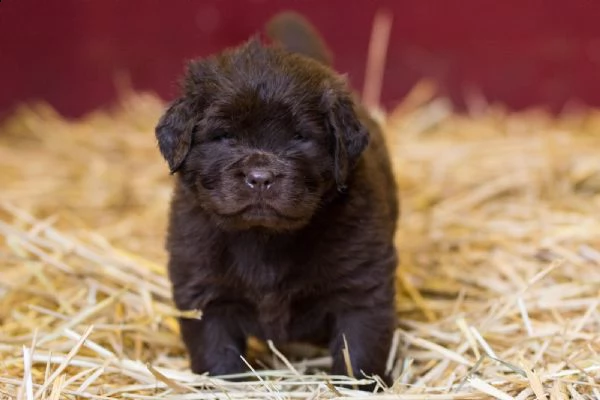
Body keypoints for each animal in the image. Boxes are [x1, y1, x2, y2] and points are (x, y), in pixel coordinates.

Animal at [156, 12, 398, 386]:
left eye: (299, 138)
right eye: (224, 136)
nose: (260, 177)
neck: (263, 239)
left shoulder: (361, 287)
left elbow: (358, 349)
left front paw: (359, 385)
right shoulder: (204, 291)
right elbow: (217, 352)